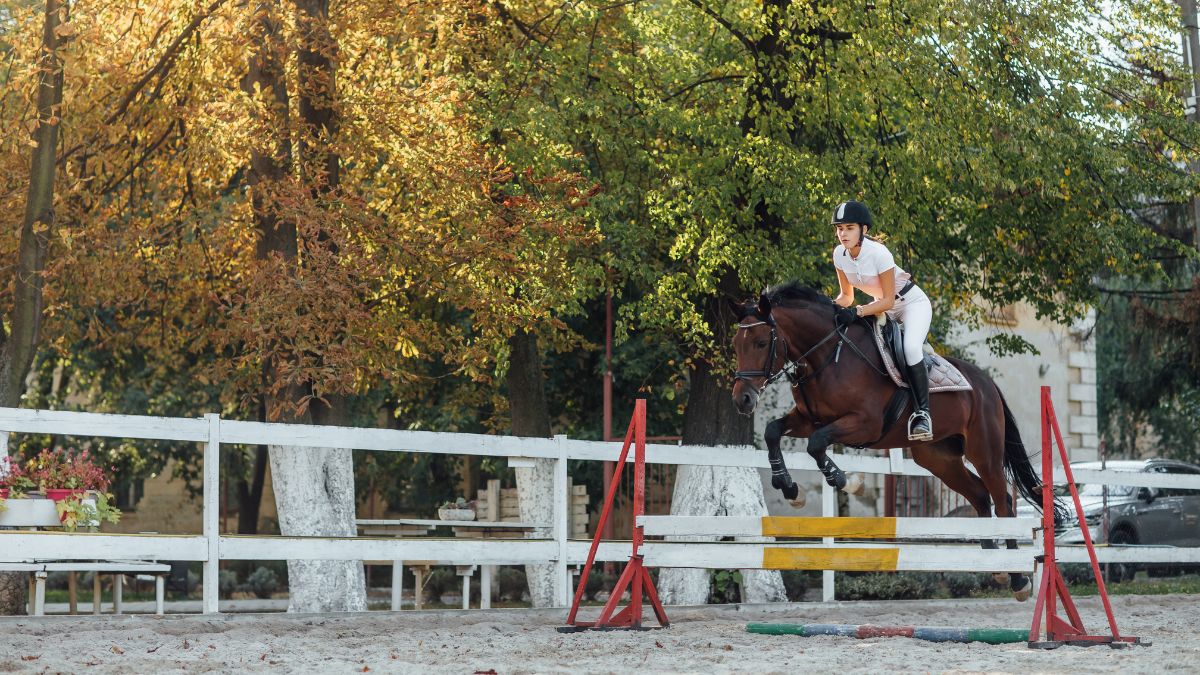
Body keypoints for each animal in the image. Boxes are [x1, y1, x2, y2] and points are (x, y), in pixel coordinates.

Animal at [727, 281, 1058, 601]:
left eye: (761, 343)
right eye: (735, 345)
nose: (742, 400)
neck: (827, 356)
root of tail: (987, 384)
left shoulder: (864, 423)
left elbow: (817, 444)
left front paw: (845, 481)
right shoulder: (808, 420)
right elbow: (773, 431)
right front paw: (789, 487)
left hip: (984, 450)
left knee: (1002, 501)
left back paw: (1017, 579)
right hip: (938, 457)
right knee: (978, 494)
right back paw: (992, 564)